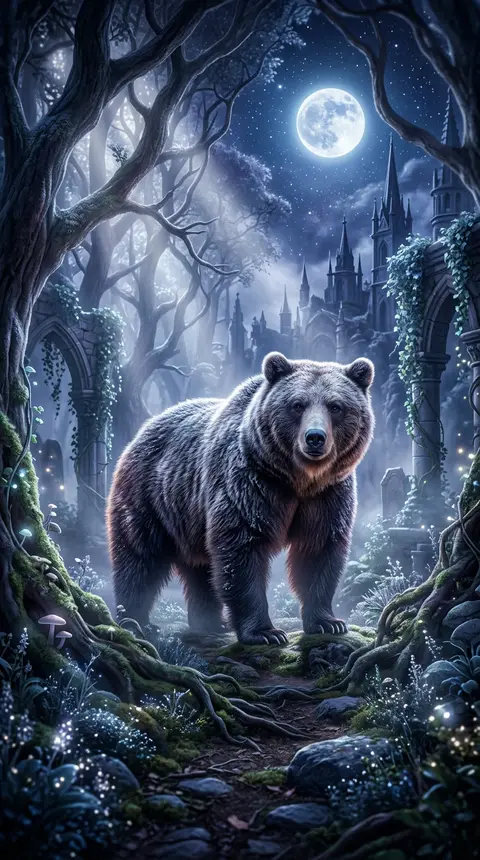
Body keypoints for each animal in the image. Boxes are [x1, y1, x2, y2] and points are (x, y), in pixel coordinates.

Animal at [106, 351, 374, 644]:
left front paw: (328, 622)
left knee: (202, 568)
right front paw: (265, 632)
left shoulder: (328, 495)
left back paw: (211, 622)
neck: (298, 480)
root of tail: (143, 430)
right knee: (140, 557)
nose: (315, 437)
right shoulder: (248, 484)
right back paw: (136, 621)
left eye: (335, 406)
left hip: (190, 516)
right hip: (151, 495)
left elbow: (318, 550)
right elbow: (242, 550)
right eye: (297, 405)